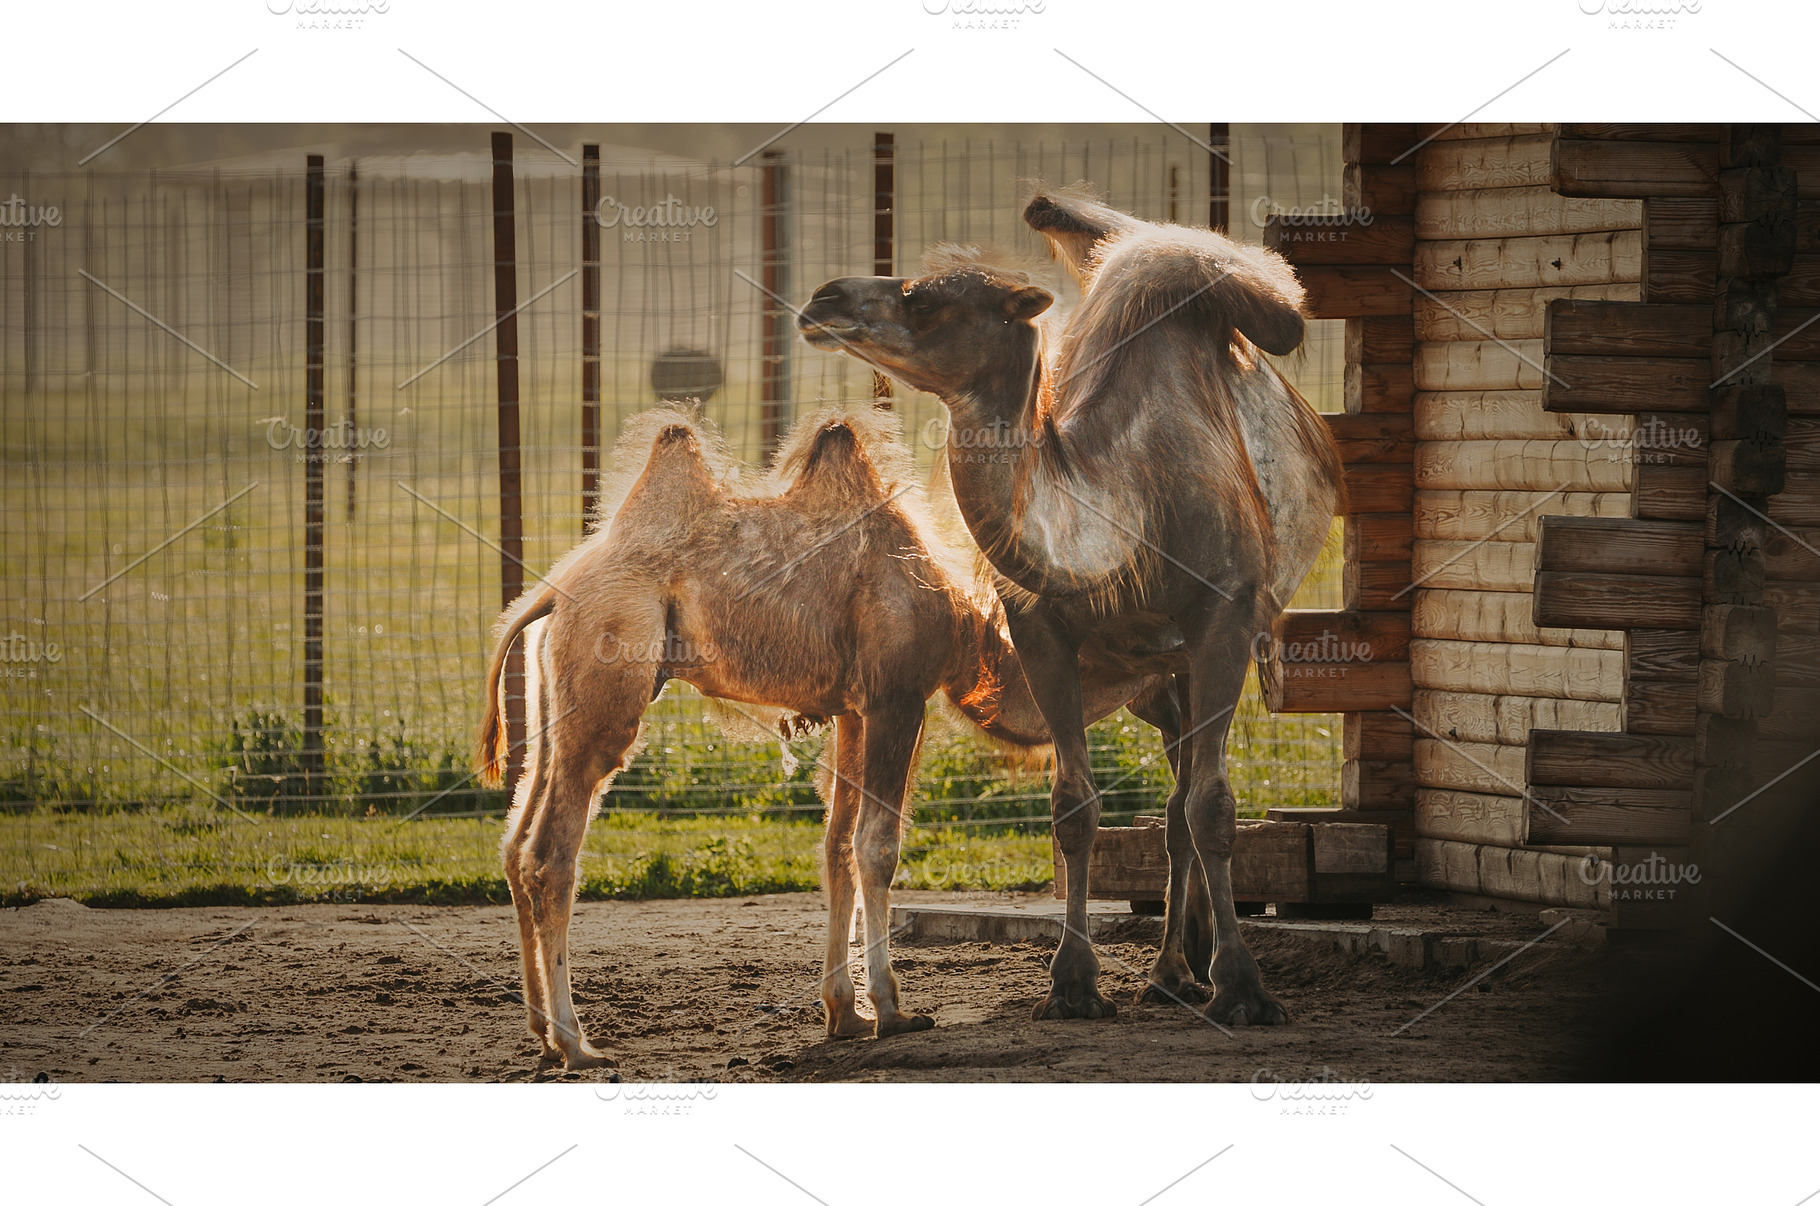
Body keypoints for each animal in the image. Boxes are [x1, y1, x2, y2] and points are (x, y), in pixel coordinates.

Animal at [476, 402, 1170, 1071]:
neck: (963, 630)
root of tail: (549, 596)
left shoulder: (851, 713)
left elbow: (837, 847)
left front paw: (845, 1014)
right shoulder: (896, 699)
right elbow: (877, 847)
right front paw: (892, 1010)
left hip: (557, 701)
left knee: (515, 841)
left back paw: (543, 1035)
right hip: (609, 677)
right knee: (551, 856)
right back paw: (578, 1043)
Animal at [798, 192, 1343, 1026]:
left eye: (927, 298)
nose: (821, 299)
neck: (1130, 510)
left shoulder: (1224, 616)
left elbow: (1215, 809)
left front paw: (1245, 988)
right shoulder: (1041, 630)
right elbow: (1074, 808)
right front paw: (1073, 984)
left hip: (1196, 653)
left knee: (1188, 800)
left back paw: (1189, 970)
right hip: (1155, 675)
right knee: (1172, 797)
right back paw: (1170, 972)